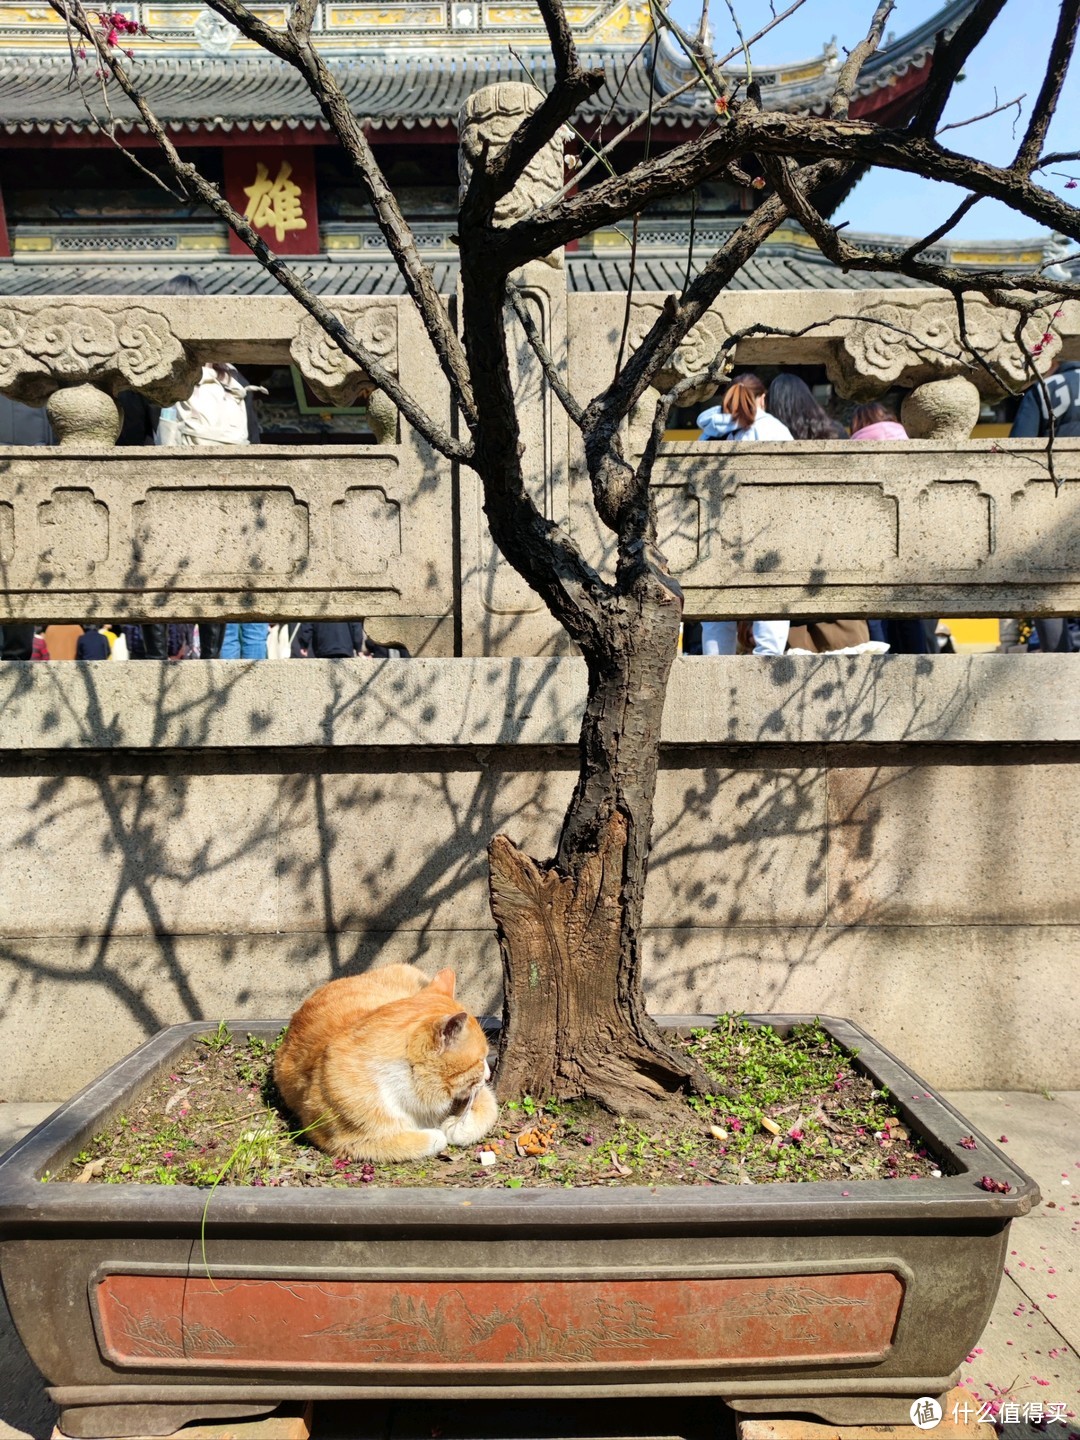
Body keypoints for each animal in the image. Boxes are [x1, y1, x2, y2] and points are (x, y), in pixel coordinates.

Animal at [276, 961, 501, 1163]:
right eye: (480, 1060)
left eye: (485, 1057)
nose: (489, 1074)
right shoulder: (344, 1142)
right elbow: (425, 1139)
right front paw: (436, 1133)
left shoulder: (481, 1093)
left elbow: (488, 1106)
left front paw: (457, 1126)